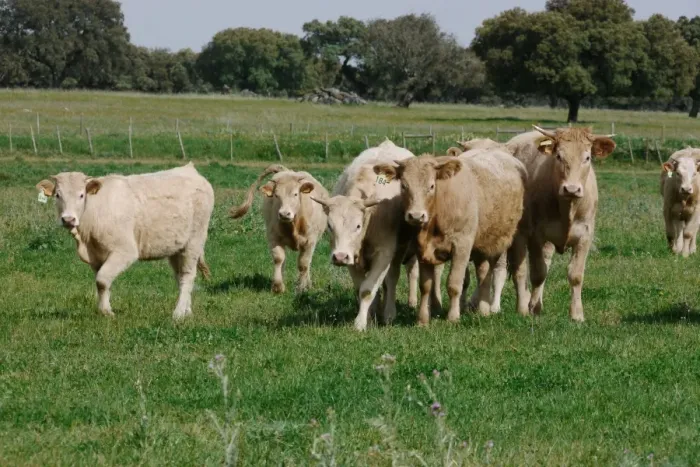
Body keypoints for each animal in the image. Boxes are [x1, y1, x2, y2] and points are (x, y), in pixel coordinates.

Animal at [35, 163, 214, 320]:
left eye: (81, 195)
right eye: (58, 195)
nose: (68, 219)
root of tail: (190, 169)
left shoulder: (125, 251)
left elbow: (102, 280)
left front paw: (106, 312)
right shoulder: (96, 256)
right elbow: (102, 283)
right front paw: (104, 308)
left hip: (194, 242)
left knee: (188, 276)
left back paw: (178, 313)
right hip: (176, 247)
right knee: (180, 277)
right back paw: (187, 311)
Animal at [230, 165, 329, 294]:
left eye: (295, 194)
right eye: (276, 195)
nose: (284, 214)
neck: (294, 225)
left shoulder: (310, 241)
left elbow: (304, 264)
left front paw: (302, 288)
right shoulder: (274, 237)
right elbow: (278, 259)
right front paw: (277, 286)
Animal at [310, 139, 441, 331]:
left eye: (357, 226)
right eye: (329, 226)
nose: (340, 257)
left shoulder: (384, 254)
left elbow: (367, 290)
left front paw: (360, 323)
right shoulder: (353, 258)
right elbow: (361, 288)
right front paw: (369, 317)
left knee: (397, 277)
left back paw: (391, 312)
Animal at [374, 147, 527, 325]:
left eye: (431, 186)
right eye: (404, 186)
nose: (416, 216)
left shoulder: (462, 246)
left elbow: (454, 284)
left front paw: (453, 317)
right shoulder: (422, 249)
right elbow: (425, 286)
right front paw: (422, 320)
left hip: (519, 235)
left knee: (519, 271)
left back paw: (522, 309)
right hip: (484, 243)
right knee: (484, 273)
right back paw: (484, 310)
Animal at [505, 126, 616, 322]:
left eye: (587, 157)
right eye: (559, 156)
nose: (571, 189)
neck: (568, 208)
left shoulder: (585, 236)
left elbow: (575, 275)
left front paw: (577, 314)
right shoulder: (536, 236)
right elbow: (538, 273)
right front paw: (532, 308)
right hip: (519, 234)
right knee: (520, 271)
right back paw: (523, 307)